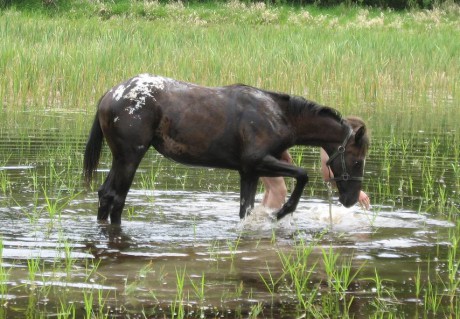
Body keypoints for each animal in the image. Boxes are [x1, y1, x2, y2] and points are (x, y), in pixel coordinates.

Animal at [83, 74, 370, 225]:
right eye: (357, 161)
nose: (351, 199)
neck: (279, 116)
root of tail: (111, 94)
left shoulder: (249, 172)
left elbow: (246, 210)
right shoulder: (258, 162)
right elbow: (302, 174)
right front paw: (282, 211)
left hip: (121, 158)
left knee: (106, 195)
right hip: (130, 157)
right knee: (117, 198)